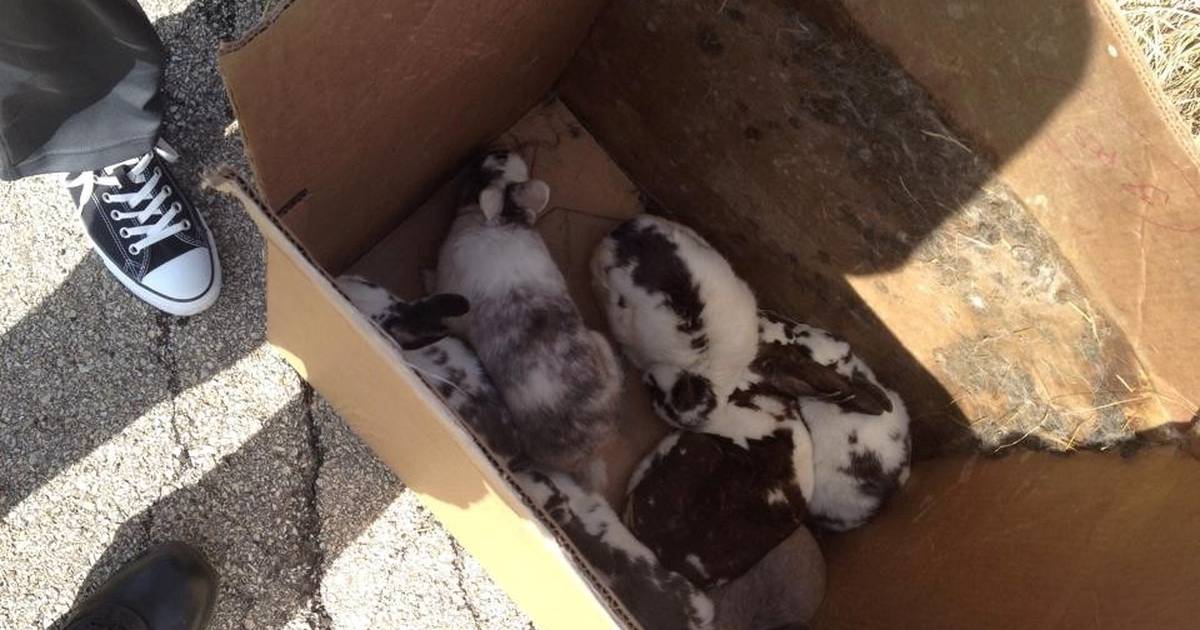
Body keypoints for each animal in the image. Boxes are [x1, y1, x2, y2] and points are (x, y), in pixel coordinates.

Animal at [435, 151, 623, 478]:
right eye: (500, 160)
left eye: (479, 170)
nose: (496, 150)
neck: (501, 220)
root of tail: (589, 452)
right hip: (600, 341)